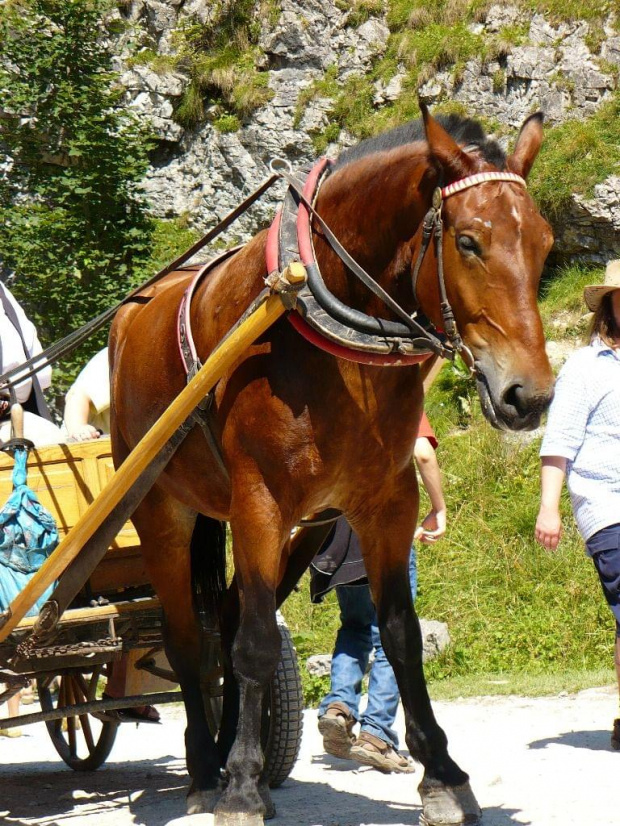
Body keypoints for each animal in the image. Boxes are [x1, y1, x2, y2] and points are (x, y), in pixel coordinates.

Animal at [109, 109, 556, 824]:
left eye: (543, 244)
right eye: (468, 242)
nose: (530, 396)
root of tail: (133, 313)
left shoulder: (387, 504)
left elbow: (398, 635)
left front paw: (443, 775)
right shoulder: (259, 504)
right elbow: (257, 645)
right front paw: (240, 789)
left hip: (300, 525)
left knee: (226, 623)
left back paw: (236, 756)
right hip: (161, 511)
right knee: (188, 641)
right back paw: (208, 768)